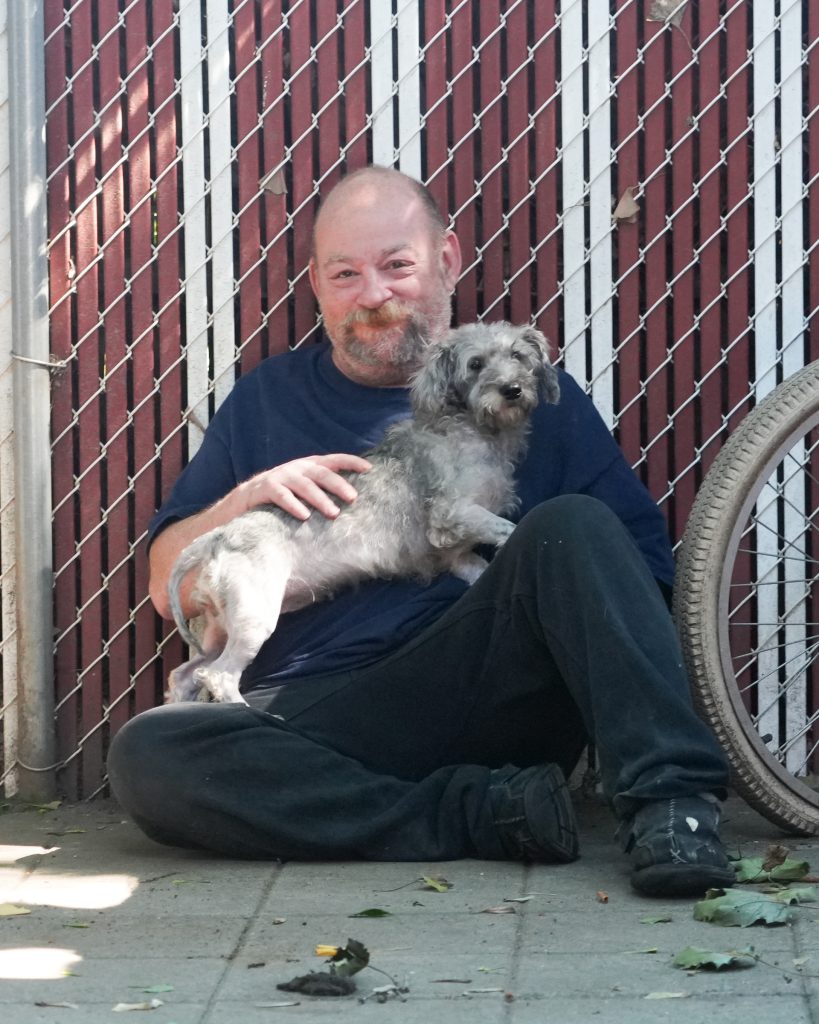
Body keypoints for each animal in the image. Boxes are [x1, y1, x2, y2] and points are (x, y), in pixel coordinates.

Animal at [166, 321, 560, 703]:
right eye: (475, 364)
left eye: (518, 355)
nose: (512, 389)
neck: (477, 432)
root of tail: (218, 536)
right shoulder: (451, 514)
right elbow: (509, 527)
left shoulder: (458, 556)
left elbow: (480, 563)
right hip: (254, 618)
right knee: (217, 675)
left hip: (222, 625)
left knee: (185, 673)